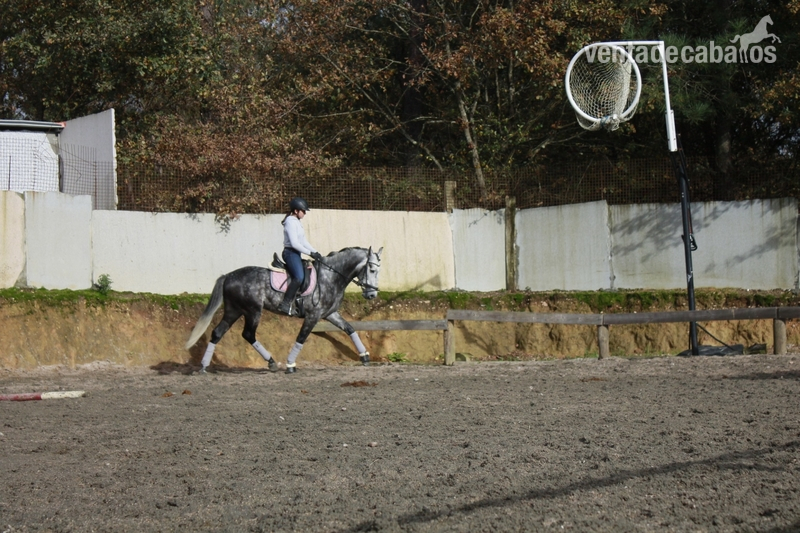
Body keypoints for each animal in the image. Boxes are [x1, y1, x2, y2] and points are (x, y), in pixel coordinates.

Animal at [185, 246, 383, 373]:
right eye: (372, 269)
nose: (372, 294)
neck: (331, 276)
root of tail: (228, 276)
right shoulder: (313, 316)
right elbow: (301, 338)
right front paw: (290, 365)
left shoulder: (330, 314)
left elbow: (350, 329)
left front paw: (364, 356)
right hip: (253, 311)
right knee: (248, 334)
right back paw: (271, 362)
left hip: (234, 311)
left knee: (218, 333)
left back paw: (204, 366)